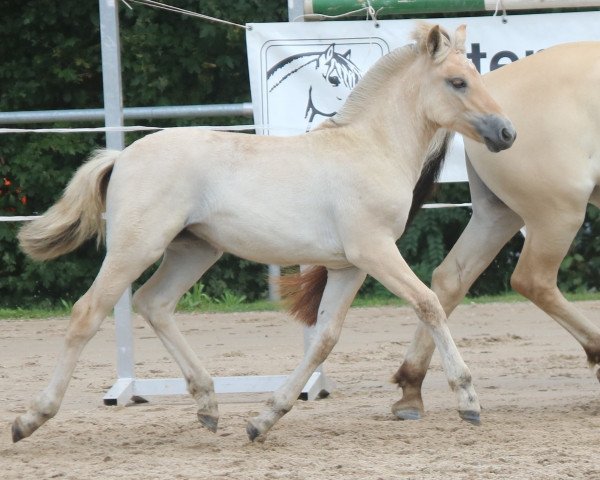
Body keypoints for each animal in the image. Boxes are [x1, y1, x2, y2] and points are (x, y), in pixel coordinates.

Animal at [12, 23, 516, 442]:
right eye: (458, 82)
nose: (507, 132)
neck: (371, 147)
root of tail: (121, 158)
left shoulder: (348, 267)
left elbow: (324, 339)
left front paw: (264, 418)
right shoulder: (374, 251)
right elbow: (429, 304)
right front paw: (468, 399)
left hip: (194, 251)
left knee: (154, 303)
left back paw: (209, 405)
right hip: (136, 248)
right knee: (88, 312)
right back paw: (31, 418)